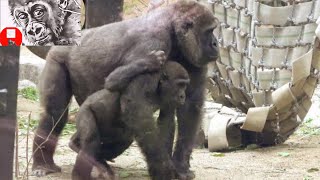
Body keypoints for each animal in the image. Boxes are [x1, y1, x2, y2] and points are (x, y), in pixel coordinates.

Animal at [31, 1, 220, 179]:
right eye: (209, 31)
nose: (215, 44)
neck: (172, 28)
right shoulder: (152, 44)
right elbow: (136, 105)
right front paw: (163, 169)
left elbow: (190, 105)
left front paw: (180, 167)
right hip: (57, 55)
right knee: (55, 113)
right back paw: (43, 163)